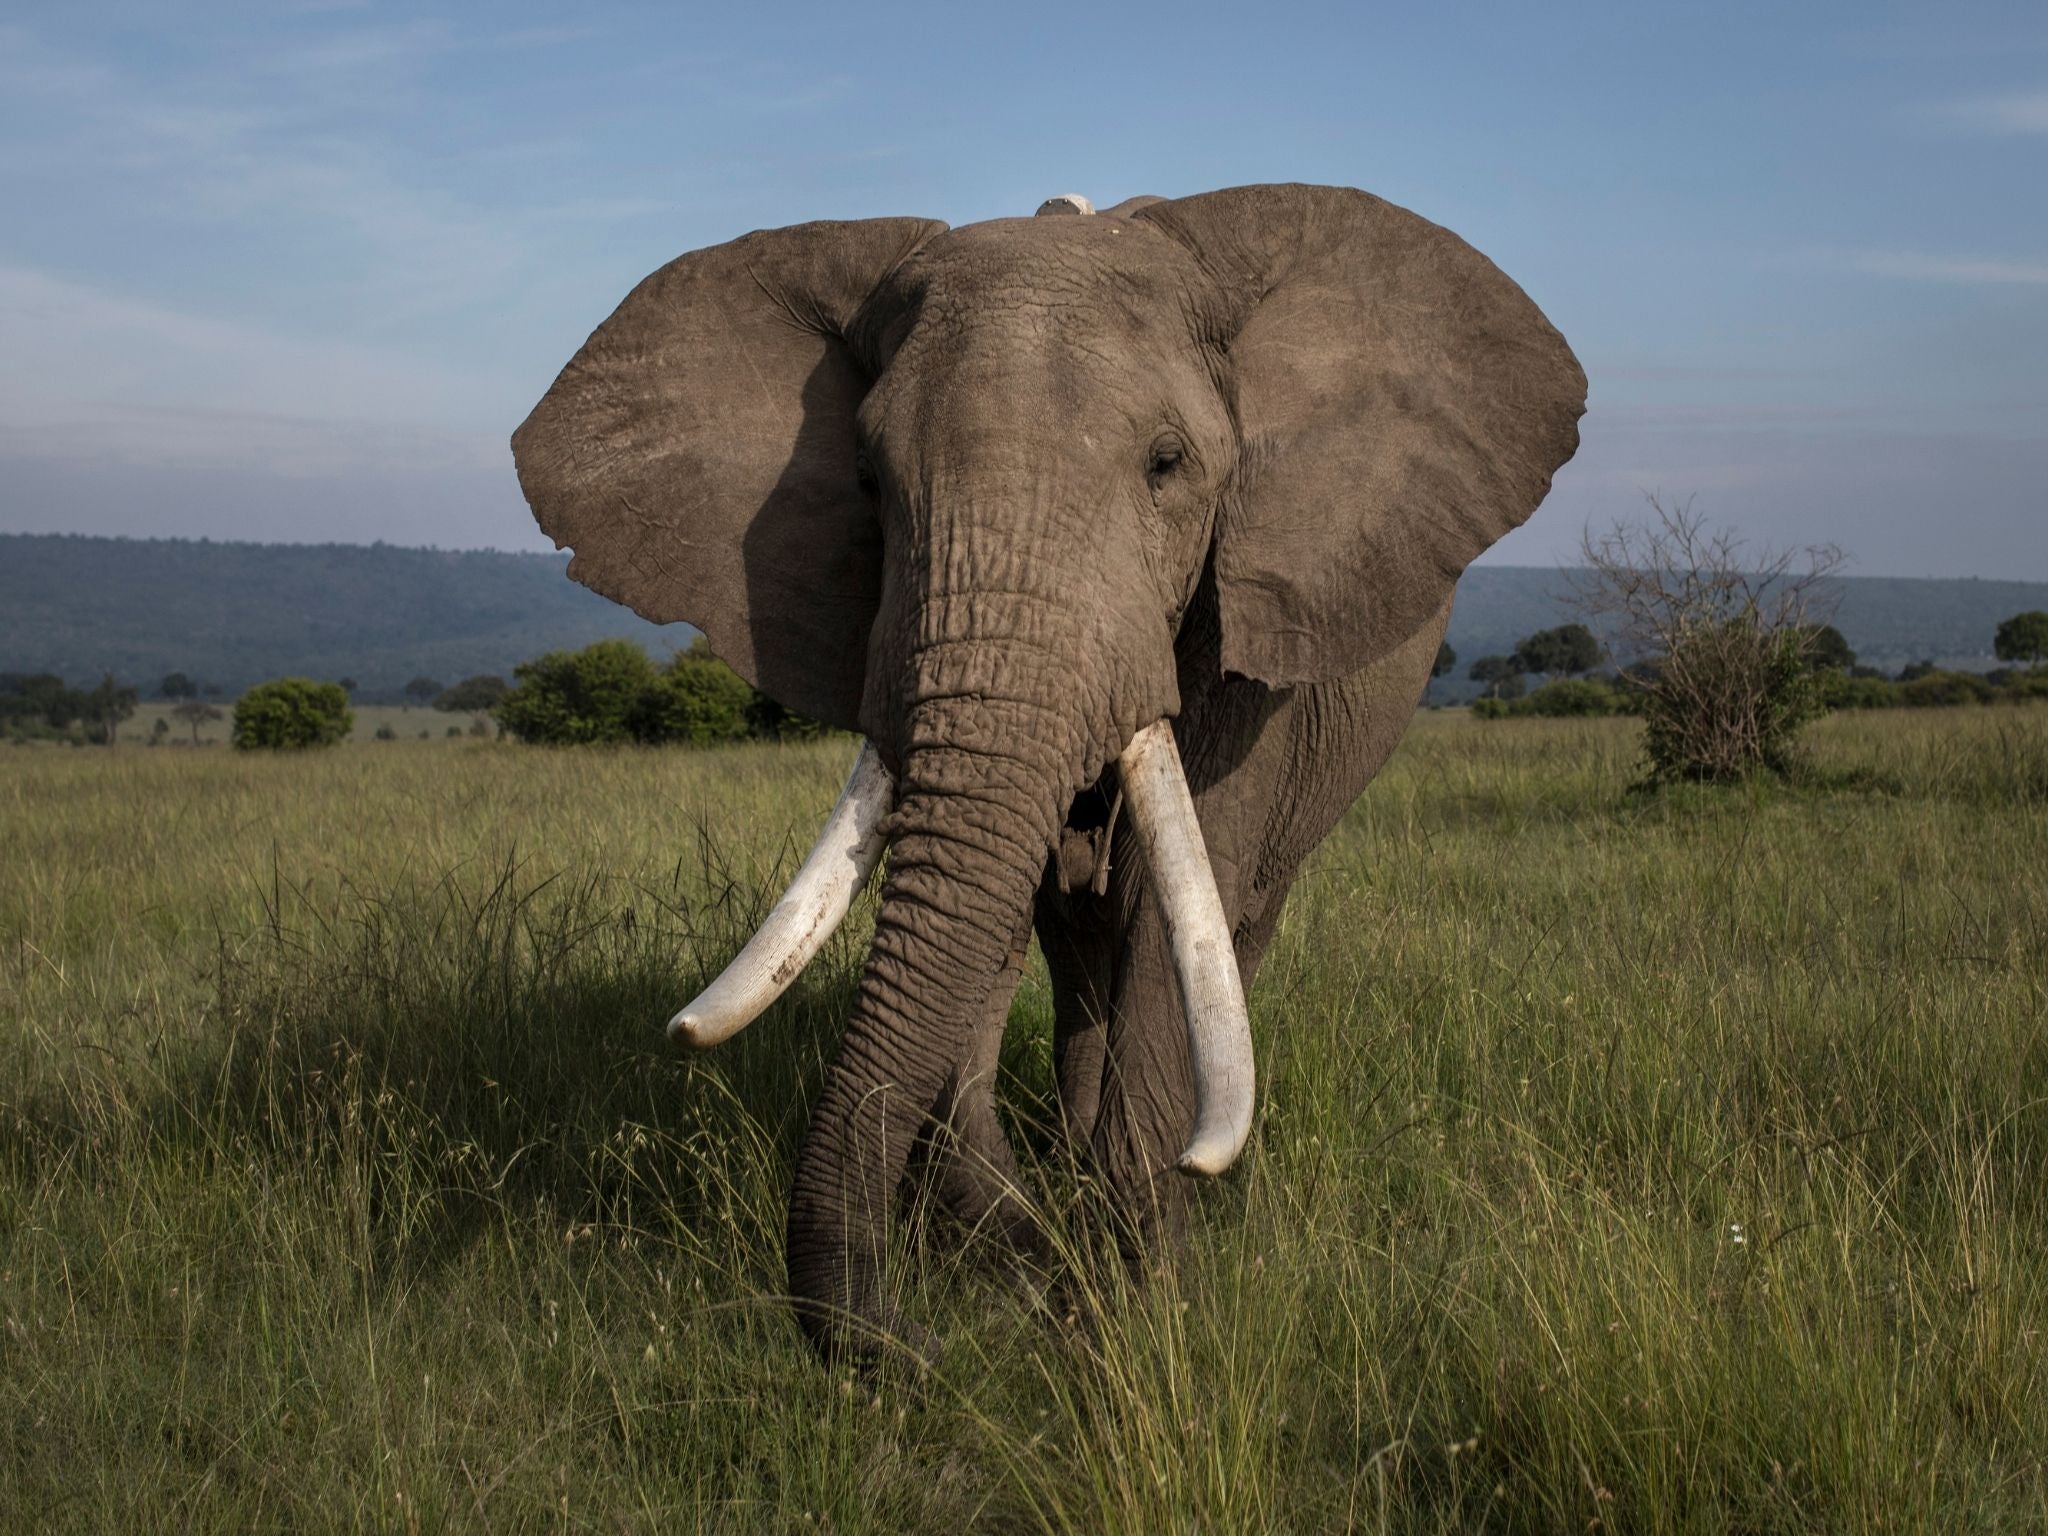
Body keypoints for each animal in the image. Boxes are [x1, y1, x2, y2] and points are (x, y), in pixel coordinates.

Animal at [512, 182, 1585, 1362]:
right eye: (866, 483)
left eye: (1167, 464)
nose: (910, 1349)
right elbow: (987, 901)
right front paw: (1040, 1257)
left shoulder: (1245, 627)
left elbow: (1172, 915)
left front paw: (1140, 1300)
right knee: (1074, 943)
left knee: (1229, 921)